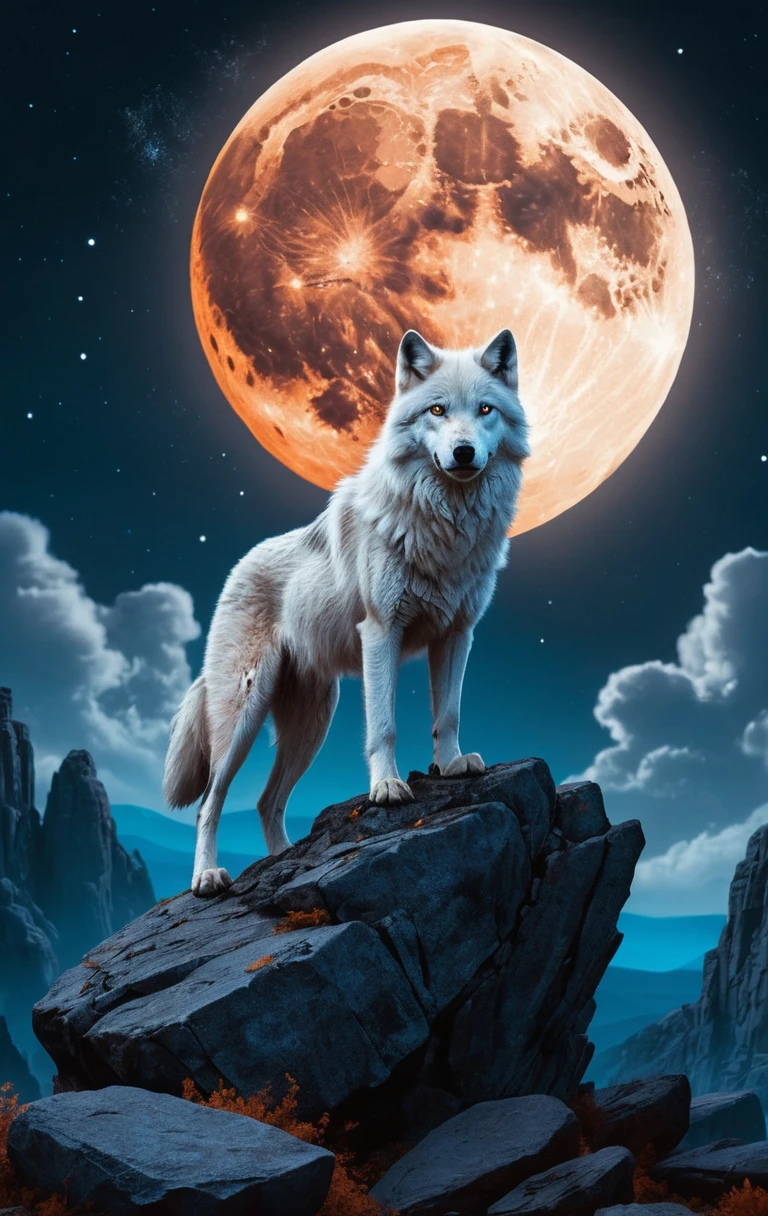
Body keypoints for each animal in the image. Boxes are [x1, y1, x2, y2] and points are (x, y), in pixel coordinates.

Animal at [163, 327, 530, 896]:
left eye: (485, 409)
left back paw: (282, 861)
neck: (445, 525)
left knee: (267, 801)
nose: (464, 451)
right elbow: (385, 725)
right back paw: (207, 877)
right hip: (243, 715)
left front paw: (450, 765)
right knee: (210, 802)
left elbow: (447, 712)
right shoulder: (381, 632)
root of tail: (235, 571)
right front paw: (387, 787)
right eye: (438, 410)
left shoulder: (458, 633)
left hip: (314, 721)